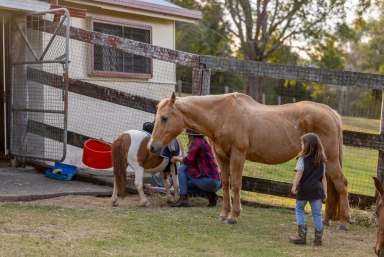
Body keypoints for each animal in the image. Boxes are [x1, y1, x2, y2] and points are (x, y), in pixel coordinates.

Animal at [148, 93, 350, 225]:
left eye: (164, 118)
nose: (152, 147)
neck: (223, 114)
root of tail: (330, 113)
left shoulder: (238, 155)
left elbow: (237, 184)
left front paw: (234, 216)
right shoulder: (222, 156)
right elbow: (226, 183)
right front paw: (224, 214)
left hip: (331, 160)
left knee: (341, 184)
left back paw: (344, 221)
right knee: (332, 186)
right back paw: (327, 220)